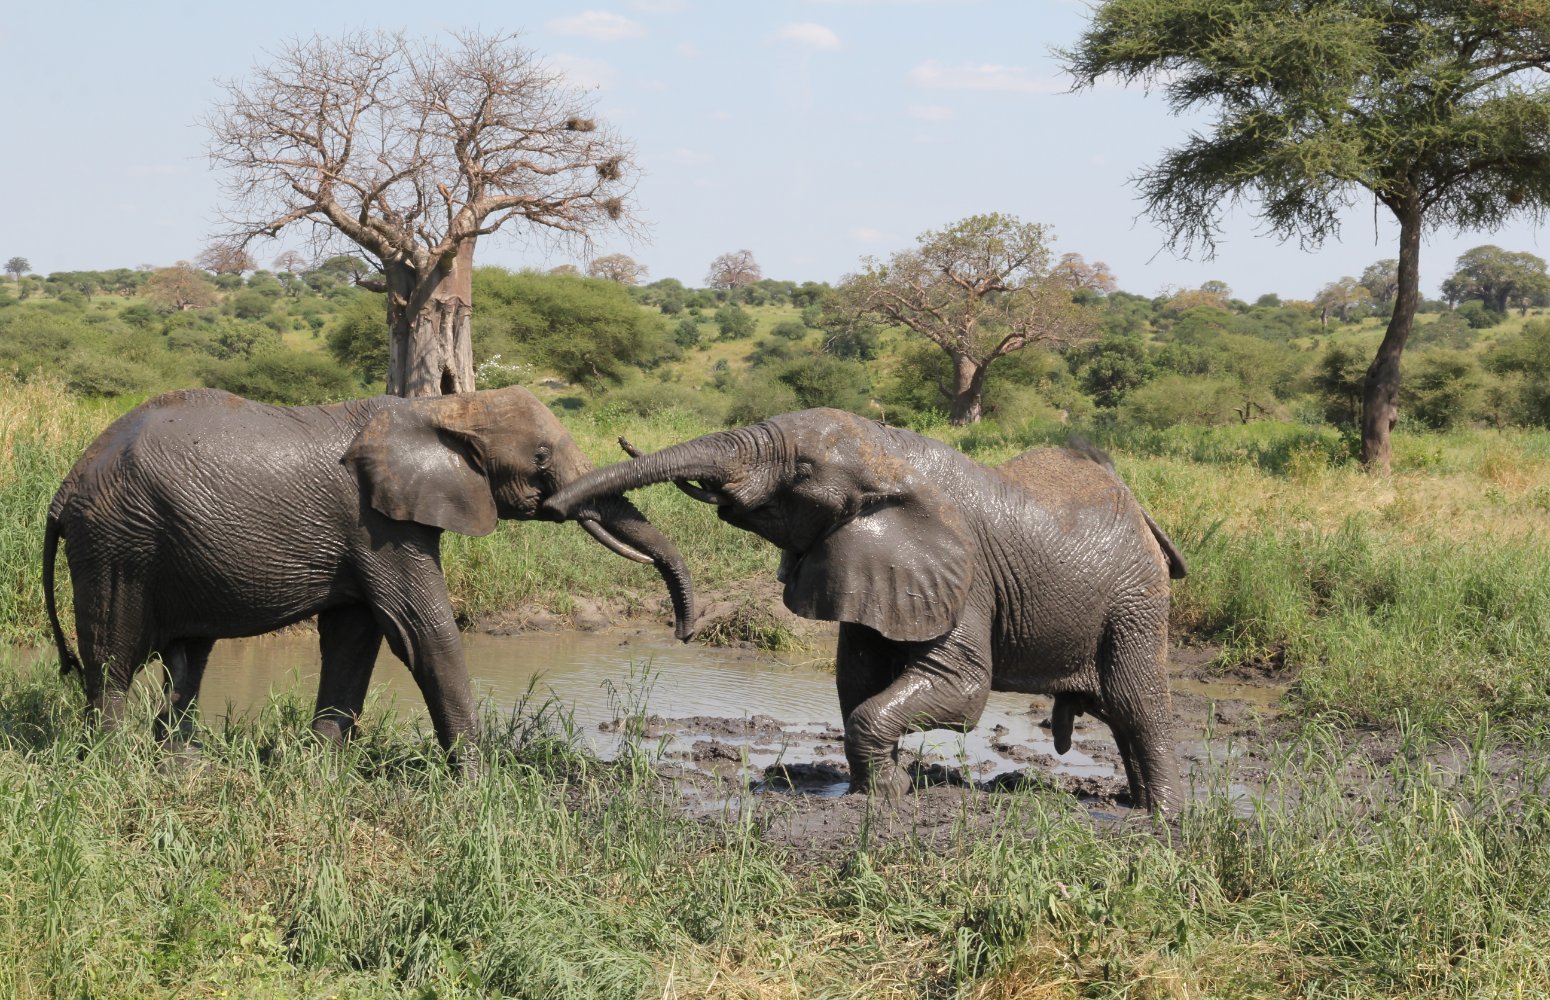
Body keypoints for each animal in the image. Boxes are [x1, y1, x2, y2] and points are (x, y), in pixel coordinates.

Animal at [42, 386, 695, 765]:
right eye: (539, 458)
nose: (684, 633)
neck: (441, 407)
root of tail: (65, 489)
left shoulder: (372, 529)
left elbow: (355, 637)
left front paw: (319, 769)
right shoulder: (377, 522)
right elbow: (421, 629)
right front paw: (477, 783)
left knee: (187, 658)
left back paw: (181, 763)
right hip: (118, 542)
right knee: (113, 658)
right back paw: (112, 766)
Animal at [543, 408, 1186, 811]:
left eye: (802, 471)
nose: (548, 505)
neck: (890, 453)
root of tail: (1138, 508)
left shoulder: (968, 577)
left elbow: (960, 688)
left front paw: (887, 795)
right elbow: (856, 678)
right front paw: (881, 790)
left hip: (1137, 601)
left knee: (1138, 705)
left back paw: (1160, 818)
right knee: (1119, 716)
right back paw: (1133, 803)